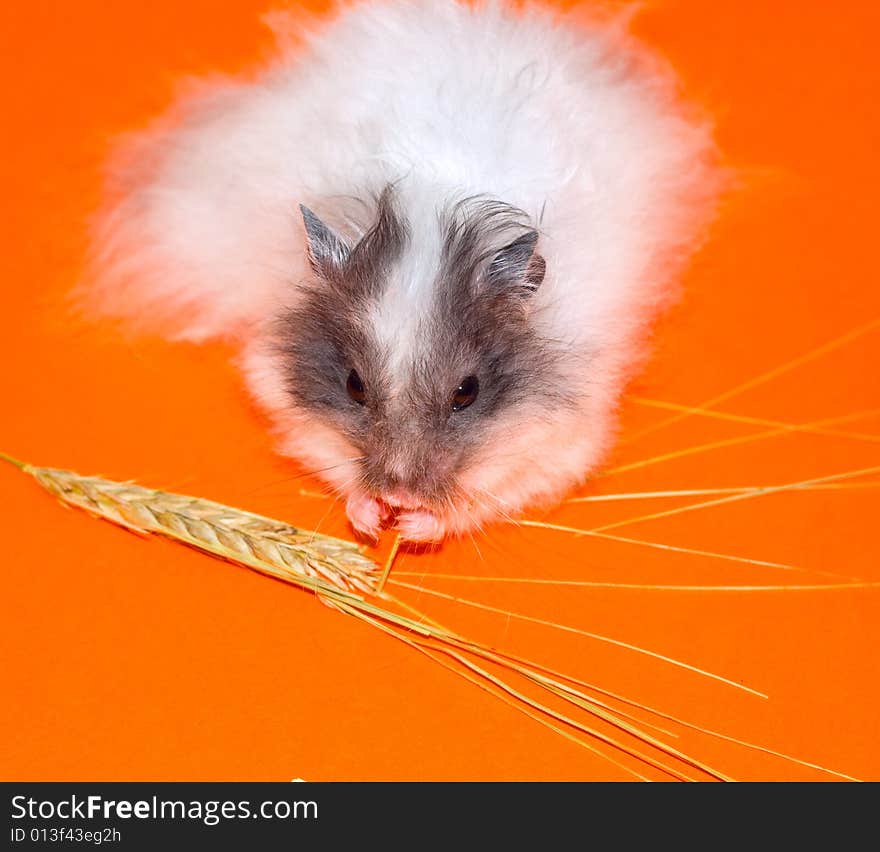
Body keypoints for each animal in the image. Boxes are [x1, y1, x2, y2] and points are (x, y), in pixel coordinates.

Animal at [86, 0, 724, 544]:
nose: (398, 492)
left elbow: (488, 494)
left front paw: (415, 525)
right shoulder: (285, 394)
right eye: (353, 385)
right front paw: (371, 519)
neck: (431, 206)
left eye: (467, 392)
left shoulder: (561, 437)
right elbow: (329, 454)